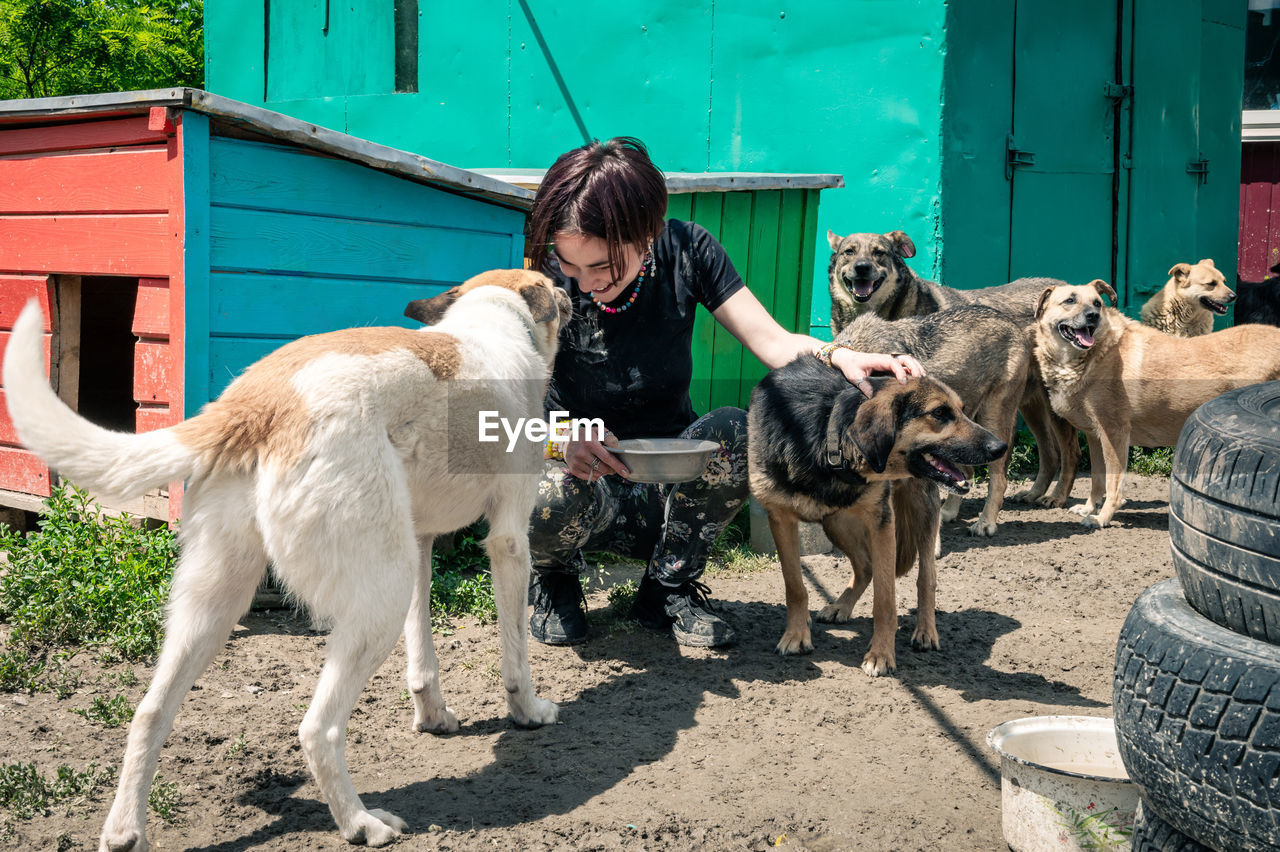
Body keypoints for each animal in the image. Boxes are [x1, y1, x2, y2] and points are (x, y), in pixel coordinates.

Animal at [0, 266, 570, 844]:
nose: (572, 292)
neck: (494, 319)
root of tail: (256, 400)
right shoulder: (508, 539)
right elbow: (516, 654)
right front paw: (528, 710)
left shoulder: (421, 543)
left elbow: (423, 659)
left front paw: (434, 718)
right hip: (379, 596)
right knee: (318, 728)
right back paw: (360, 822)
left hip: (216, 604)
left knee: (149, 713)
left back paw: (123, 830)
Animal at [747, 360, 1008, 675]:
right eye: (939, 413)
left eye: (960, 409)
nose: (1000, 447)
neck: (828, 433)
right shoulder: (780, 518)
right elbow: (795, 586)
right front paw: (796, 636)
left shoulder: (881, 521)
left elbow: (885, 601)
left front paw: (881, 654)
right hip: (837, 522)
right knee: (865, 566)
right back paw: (841, 606)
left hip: (921, 511)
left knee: (926, 578)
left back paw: (926, 631)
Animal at [1034, 278, 1280, 527]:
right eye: (1070, 300)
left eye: (1097, 303)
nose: (1093, 315)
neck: (1093, 355)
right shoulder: (1095, 436)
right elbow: (1097, 480)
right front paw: (1088, 508)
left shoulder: (1114, 432)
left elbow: (1113, 485)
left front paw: (1102, 517)